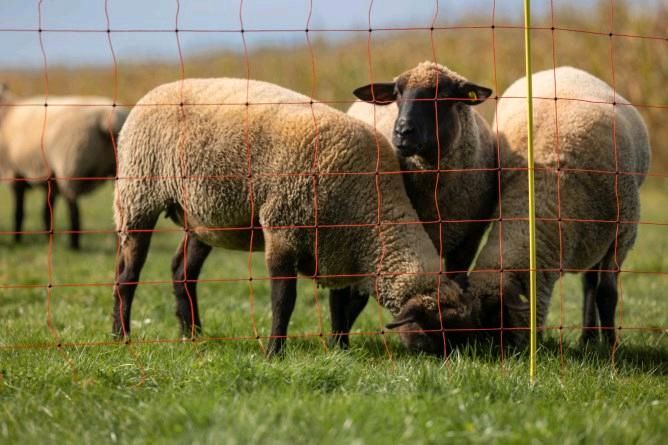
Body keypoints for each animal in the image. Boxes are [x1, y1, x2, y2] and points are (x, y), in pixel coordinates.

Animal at [0, 84, 128, 248]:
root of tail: (107, 119)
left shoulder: (13, 173)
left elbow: (19, 211)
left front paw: (16, 239)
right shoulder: (50, 179)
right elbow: (46, 211)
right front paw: (47, 236)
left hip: (70, 166)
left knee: (73, 208)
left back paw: (74, 244)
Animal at [113, 75, 470, 354]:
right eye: (434, 331)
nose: (456, 362)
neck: (371, 205)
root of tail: (158, 88)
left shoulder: (339, 248)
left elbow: (339, 306)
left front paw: (340, 349)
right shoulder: (283, 229)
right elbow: (284, 299)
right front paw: (275, 352)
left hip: (202, 218)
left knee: (182, 272)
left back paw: (192, 335)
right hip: (137, 196)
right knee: (127, 275)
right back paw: (121, 336)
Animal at [388, 66, 648, 350]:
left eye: (497, 316)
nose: (489, 353)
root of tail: (561, 69)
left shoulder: (623, 233)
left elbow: (607, 294)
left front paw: (612, 347)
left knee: (592, 284)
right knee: (588, 282)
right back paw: (587, 338)